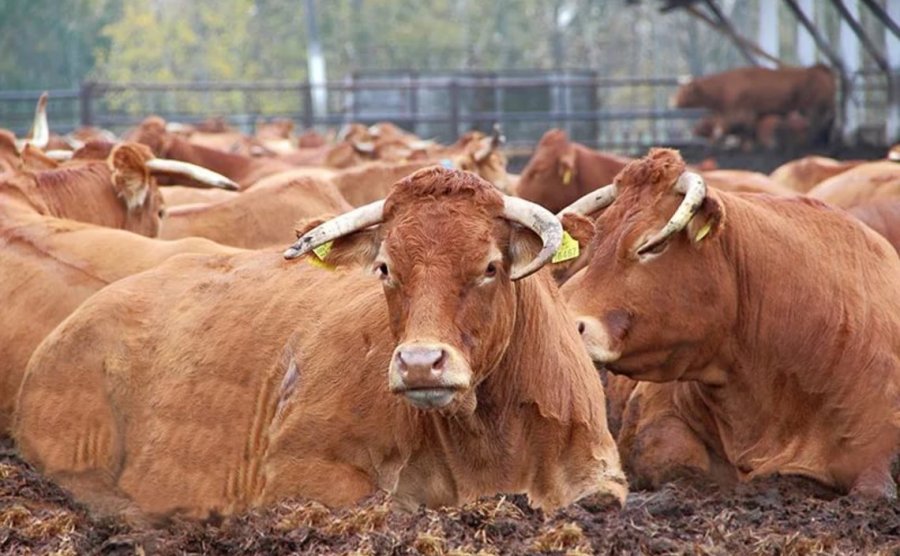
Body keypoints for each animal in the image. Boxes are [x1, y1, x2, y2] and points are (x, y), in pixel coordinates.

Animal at [14, 167, 627, 519]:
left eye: (490, 267)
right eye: (385, 267)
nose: (419, 363)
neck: (489, 440)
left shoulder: (600, 475)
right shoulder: (296, 472)